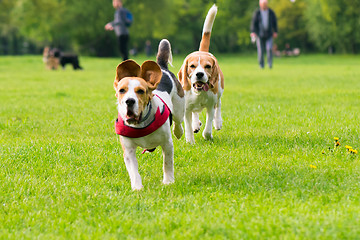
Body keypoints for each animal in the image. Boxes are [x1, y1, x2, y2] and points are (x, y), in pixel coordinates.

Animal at [114, 39, 184, 189]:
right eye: (122, 90)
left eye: (141, 91)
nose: (129, 101)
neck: (140, 124)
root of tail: (162, 68)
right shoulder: (128, 150)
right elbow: (133, 171)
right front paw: (137, 188)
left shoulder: (167, 143)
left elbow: (167, 163)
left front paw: (168, 181)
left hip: (180, 106)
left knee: (178, 122)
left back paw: (179, 132)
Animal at [178, 4, 224, 143]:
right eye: (192, 66)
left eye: (207, 66)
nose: (199, 74)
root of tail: (202, 51)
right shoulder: (186, 109)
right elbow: (187, 125)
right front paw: (190, 141)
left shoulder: (210, 106)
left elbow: (208, 128)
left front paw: (208, 136)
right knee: (195, 112)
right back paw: (196, 124)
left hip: (219, 90)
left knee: (218, 105)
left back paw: (218, 122)